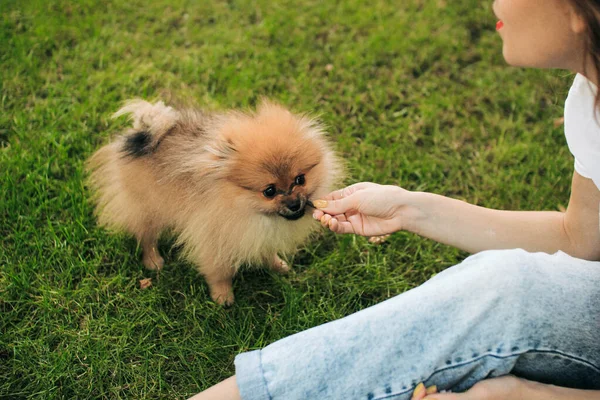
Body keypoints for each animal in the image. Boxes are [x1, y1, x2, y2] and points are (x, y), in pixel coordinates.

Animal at [86, 99, 344, 304]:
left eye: (300, 179)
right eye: (269, 191)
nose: (294, 204)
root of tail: (143, 131)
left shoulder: (258, 234)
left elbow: (266, 250)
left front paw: (276, 265)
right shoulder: (213, 236)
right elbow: (219, 271)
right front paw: (222, 296)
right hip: (148, 206)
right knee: (146, 235)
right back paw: (153, 260)